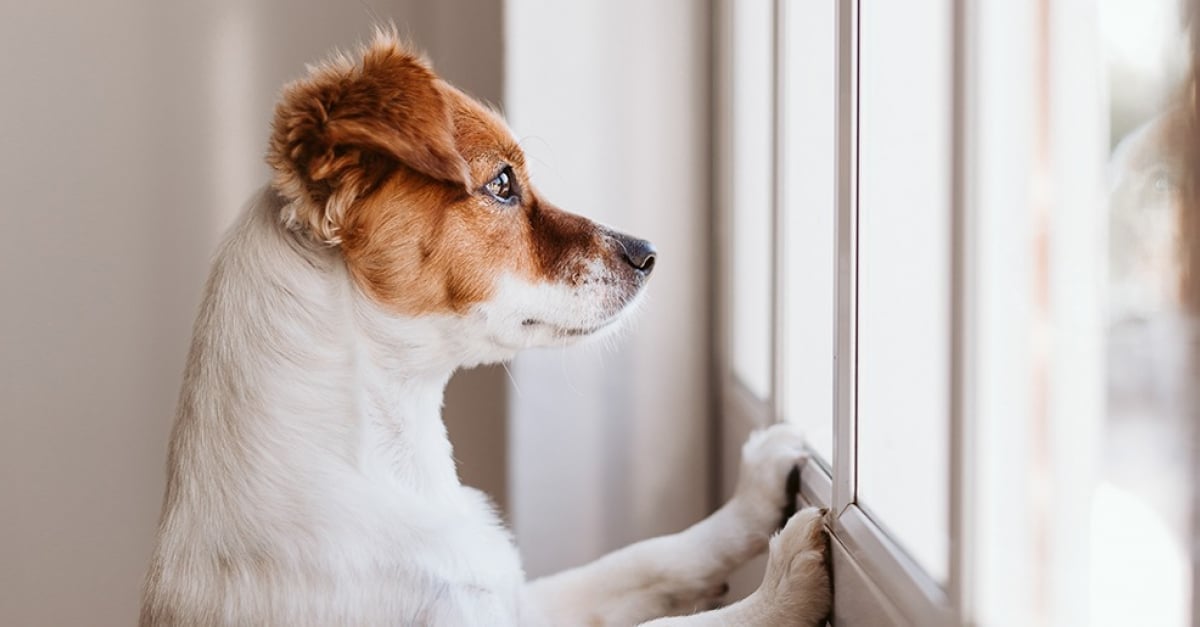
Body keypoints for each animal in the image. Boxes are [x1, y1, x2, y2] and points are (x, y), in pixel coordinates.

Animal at [140, 30, 830, 624]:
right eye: (501, 183)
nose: (648, 253)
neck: (392, 463)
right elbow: (678, 626)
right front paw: (781, 587)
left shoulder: (520, 599)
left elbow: (642, 559)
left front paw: (753, 498)